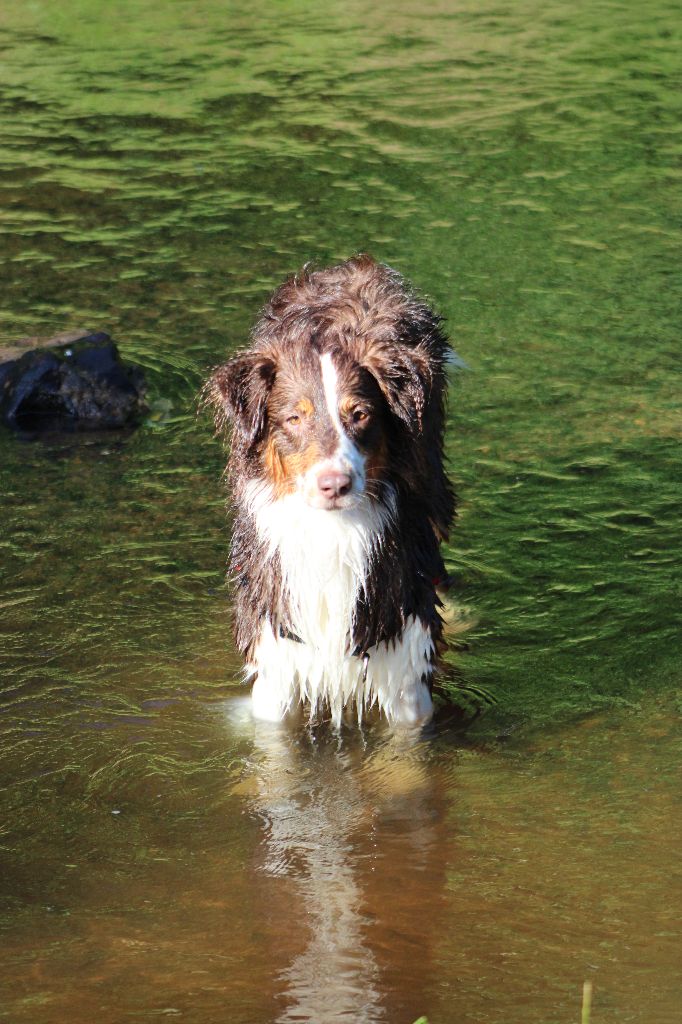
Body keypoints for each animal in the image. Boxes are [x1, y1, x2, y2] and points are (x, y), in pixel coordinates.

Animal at [204, 253, 454, 729]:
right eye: (294, 419)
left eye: (360, 415)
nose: (335, 483)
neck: (330, 532)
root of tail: (352, 265)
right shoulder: (277, 640)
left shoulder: (402, 646)